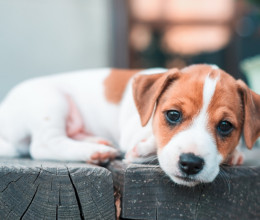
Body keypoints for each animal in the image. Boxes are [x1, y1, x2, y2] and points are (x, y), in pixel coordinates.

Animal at [0, 64, 260, 186]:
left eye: (225, 126)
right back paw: (97, 151)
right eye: (173, 115)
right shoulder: (133, 132)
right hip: (52, 102)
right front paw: (143, 149)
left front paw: (234, 153)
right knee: (43, 145)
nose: (190, 163)